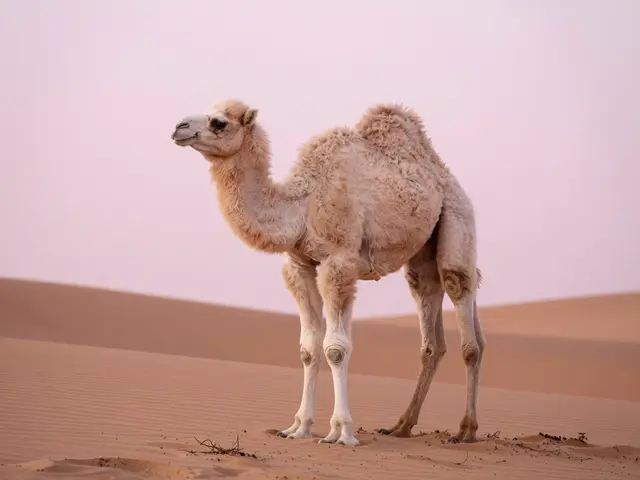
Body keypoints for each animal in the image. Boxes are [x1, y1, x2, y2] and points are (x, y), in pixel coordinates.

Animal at [170, 99, 485, 447]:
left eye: (219, 122)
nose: (179, 127)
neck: (302, 204)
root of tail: (446, 175)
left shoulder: (339, 262)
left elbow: (335, 348)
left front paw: (342, 432)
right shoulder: (300, 265)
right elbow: (309, 348)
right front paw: (298, 428)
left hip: (458, 218)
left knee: (461, 300)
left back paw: (465, 430)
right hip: (422, 254)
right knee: (432, 325)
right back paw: (401, 426)